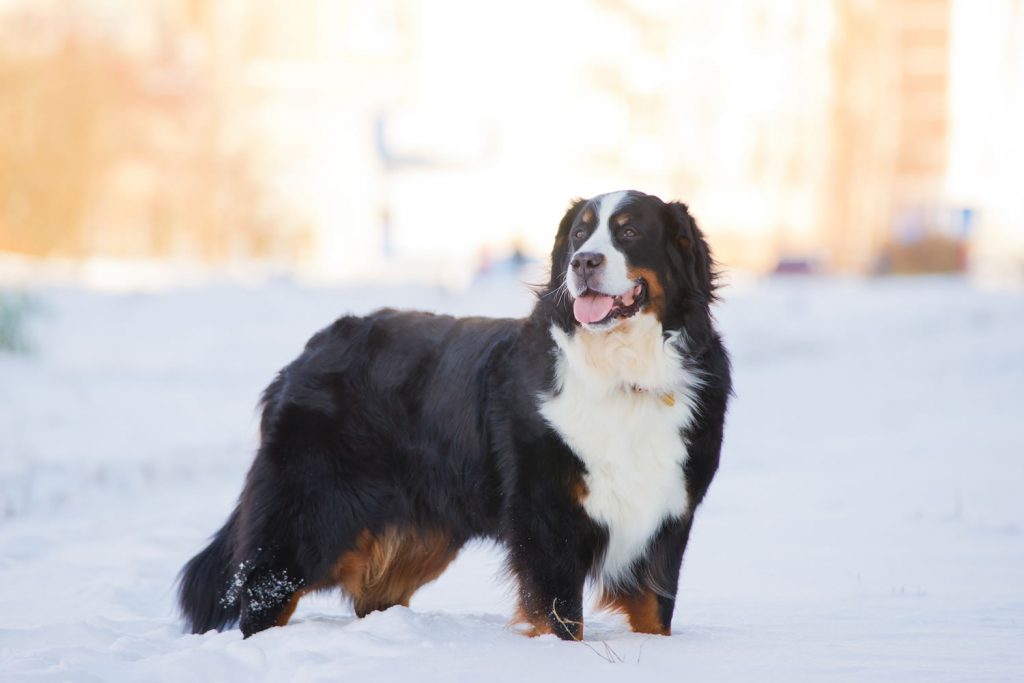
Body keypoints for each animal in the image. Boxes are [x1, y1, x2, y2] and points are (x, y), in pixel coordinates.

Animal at [180, 191, 733, 643]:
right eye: (580, 233)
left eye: (630, 231)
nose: (584, 262)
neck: (624, 375)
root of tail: (310, 350)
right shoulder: (547, 518)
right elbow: (561, 620)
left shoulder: (666, 519)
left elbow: (655, 614)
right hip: (308, 516)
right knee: (264, 588)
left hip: (418, 535)